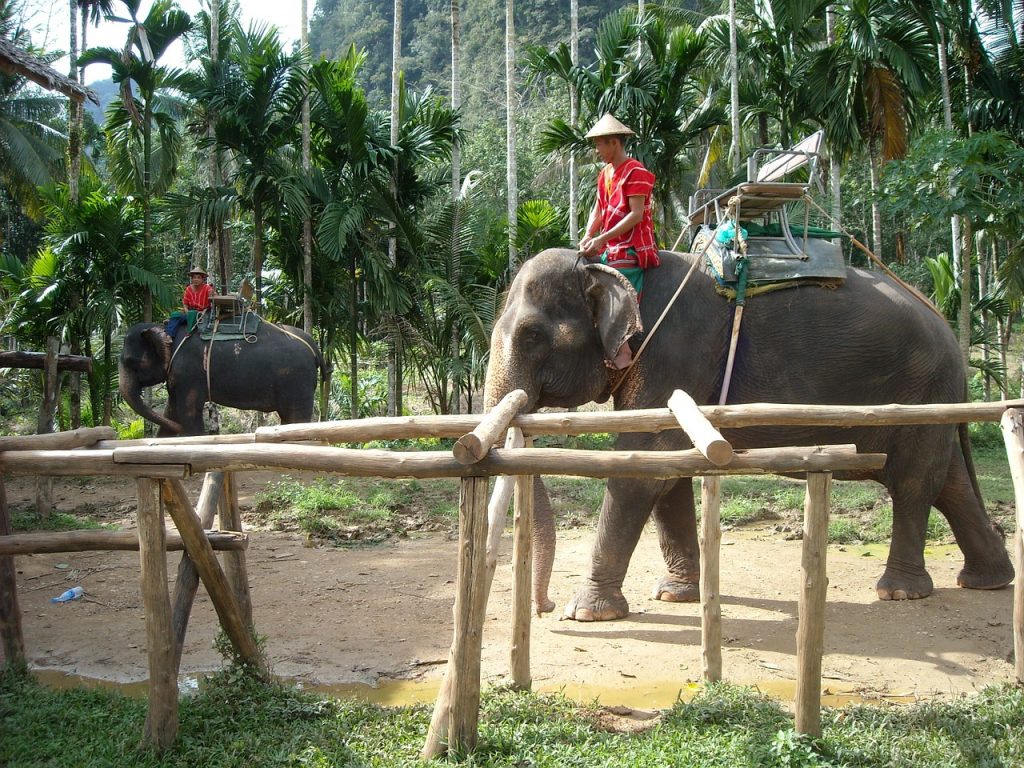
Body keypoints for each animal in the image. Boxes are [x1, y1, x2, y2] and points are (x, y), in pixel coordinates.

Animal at [119, 319, 327, 438]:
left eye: (129, 361)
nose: (178, 430)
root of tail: (313, 346)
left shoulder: (189, 372)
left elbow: (188, 410)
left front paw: (194, 437)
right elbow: (171, 411)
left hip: (297, 380)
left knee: (296, 416)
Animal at [485, 249, 1015, 622]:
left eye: (532, 335)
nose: (543, 607)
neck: (614, 265)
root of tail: (944, 323)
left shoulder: (676, 351)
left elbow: (642, 470)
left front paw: (588, 613)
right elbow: (666, 472)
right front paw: (675, 594)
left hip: (919, 393)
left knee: (913, 483)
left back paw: (899, 592)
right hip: (931, 401)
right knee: (949, 483)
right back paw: (988, 580)